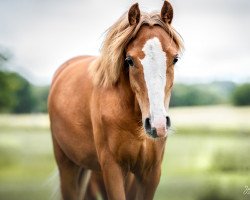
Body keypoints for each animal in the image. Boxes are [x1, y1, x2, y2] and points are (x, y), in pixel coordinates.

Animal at [48, 1, 182, 200]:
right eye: (129, 60)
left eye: (175, 59)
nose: (156, 124)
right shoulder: (112, 169)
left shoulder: (150, 173)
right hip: (68, 166)